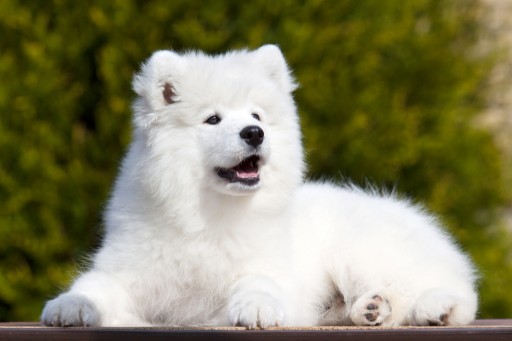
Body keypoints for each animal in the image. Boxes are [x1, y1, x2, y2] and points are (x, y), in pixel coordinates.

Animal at [42, 45, 478, 326]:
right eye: (213, 119)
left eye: (257, 116)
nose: (254, 133)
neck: (209, 215)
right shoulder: (129, 267)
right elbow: (95, 284)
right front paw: (70, 306)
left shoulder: (269, 267)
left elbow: (258, 283)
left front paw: (255, 308)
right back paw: (369, 309)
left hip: (362, 251)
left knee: (450, 290)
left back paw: (434, 308)